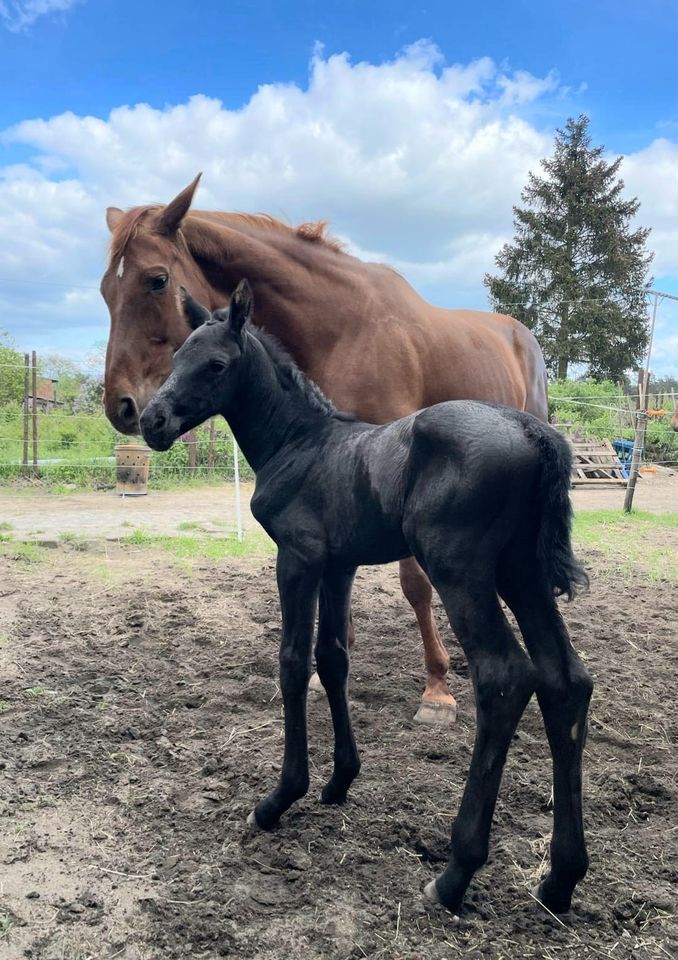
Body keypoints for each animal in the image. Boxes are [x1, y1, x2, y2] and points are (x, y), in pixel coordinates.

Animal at [99, 174, 548, 728]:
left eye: (156, 280)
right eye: (105, 290)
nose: (123, 407)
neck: (342, 329)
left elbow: (415, 584)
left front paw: (437, 690)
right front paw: (328, 672)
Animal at [141, 280, 592, 916]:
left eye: (216, 365)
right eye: (178, 355)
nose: (151, 421)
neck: (300, 443)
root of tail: (537, 433)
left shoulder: (298, 560)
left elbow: (292, 662)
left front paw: (280, 797)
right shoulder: (339, 567)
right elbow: (333, 659)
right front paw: (339, 781)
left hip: (462, 571)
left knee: (505, 678)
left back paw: (454, 875)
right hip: (521, 574)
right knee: (565, 680)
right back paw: (559, 879)